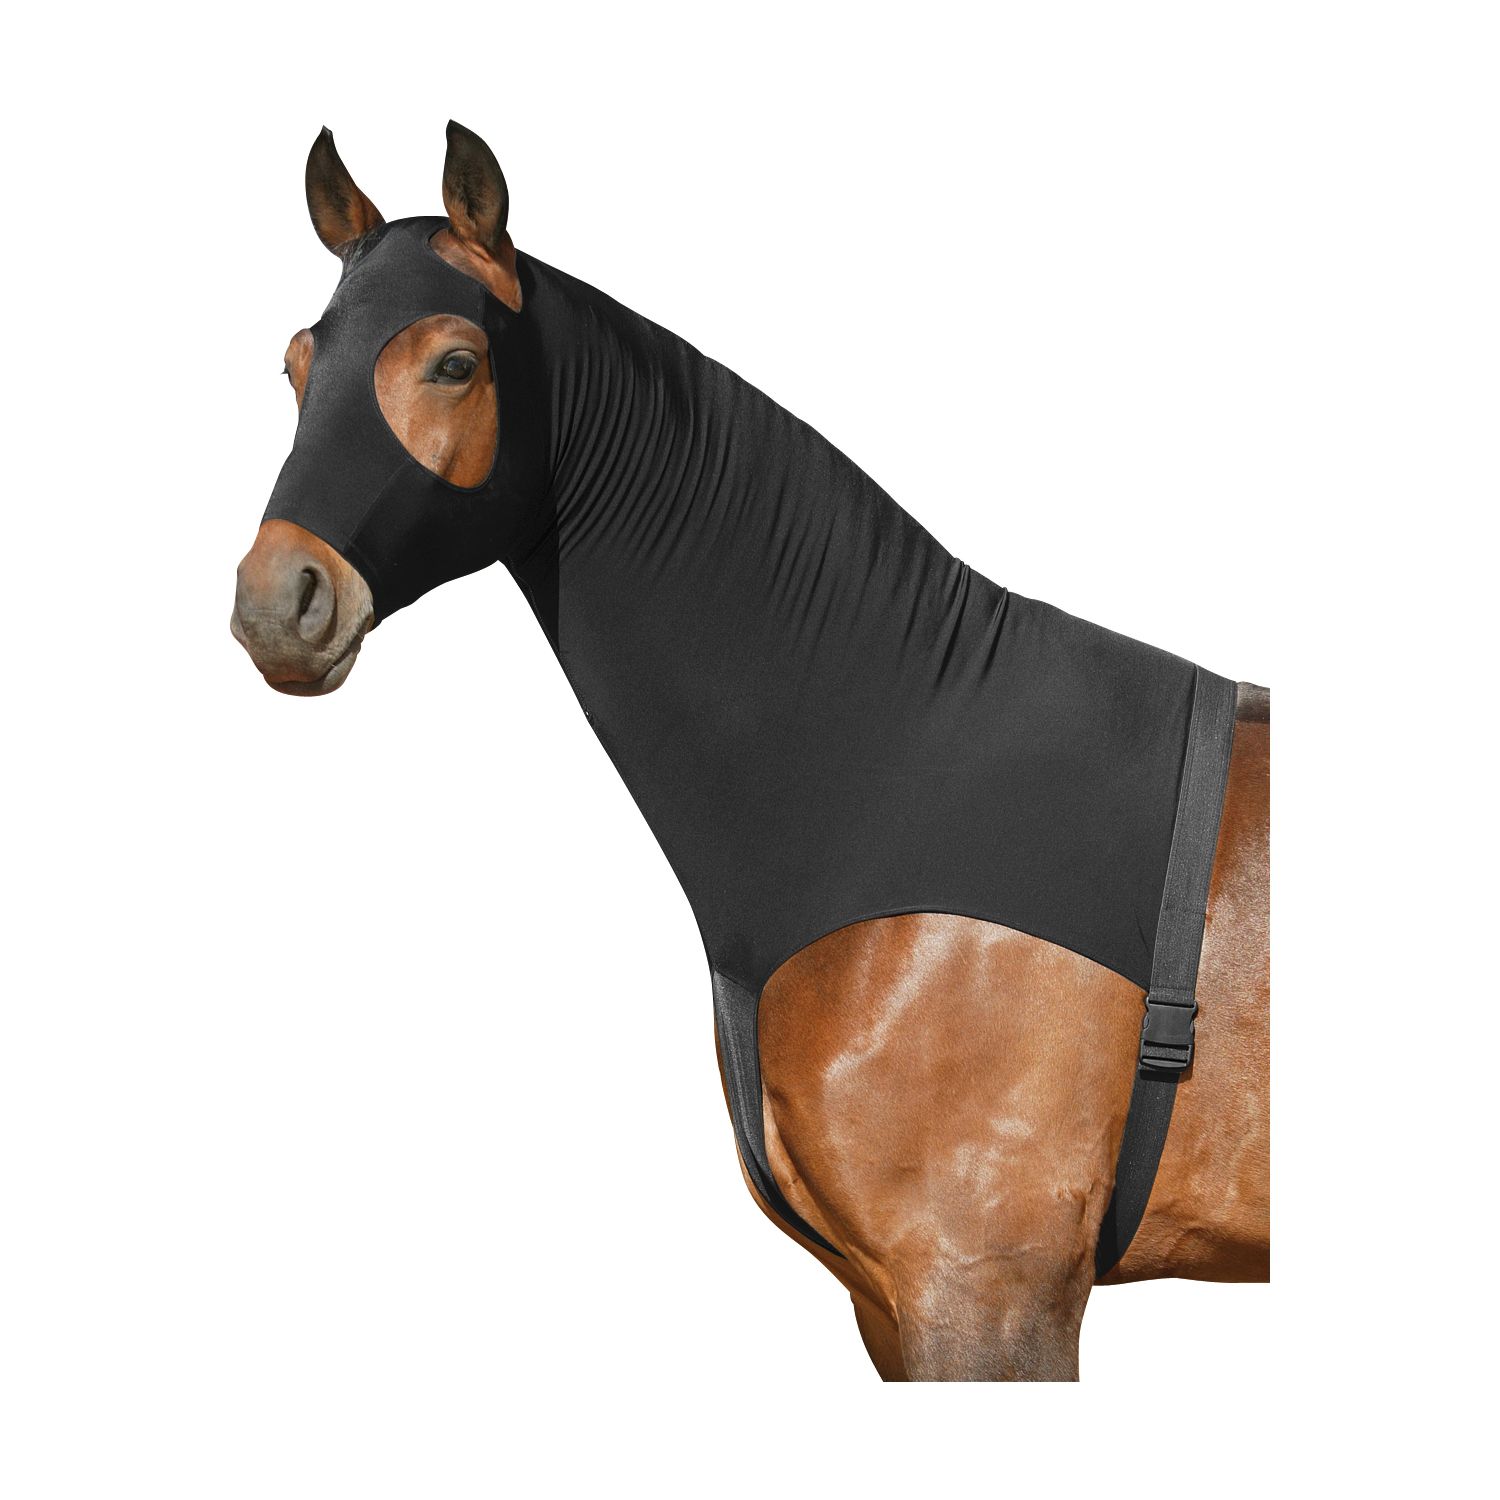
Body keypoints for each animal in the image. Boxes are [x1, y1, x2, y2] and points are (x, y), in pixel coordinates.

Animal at [231, 121, 1269, 1382]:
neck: (893, 759)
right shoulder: (897, 1306)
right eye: (296, 365)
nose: (278, 602)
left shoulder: (990, 1291)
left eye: (455, 363)